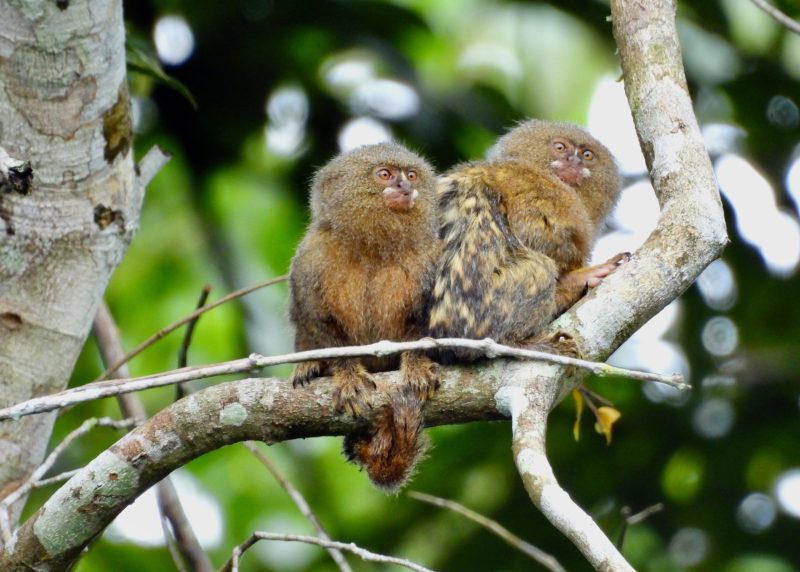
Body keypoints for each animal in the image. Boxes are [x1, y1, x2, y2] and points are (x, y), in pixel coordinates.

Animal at [288, 142, 440, 490]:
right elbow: (320, 324)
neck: (372, 247)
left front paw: (416, 366)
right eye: (384, 174)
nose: (404, 185)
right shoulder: (310, 258)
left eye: (411, 175)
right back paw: (309, 365)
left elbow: (423, 325)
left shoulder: (432, 260)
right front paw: (348, 377)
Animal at [429, 119, 628, 352]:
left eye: (587, 155)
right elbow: (531, 232)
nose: (574, 160)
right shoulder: (531, 184)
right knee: (540, 268)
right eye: (560, 147)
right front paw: (574, 274)